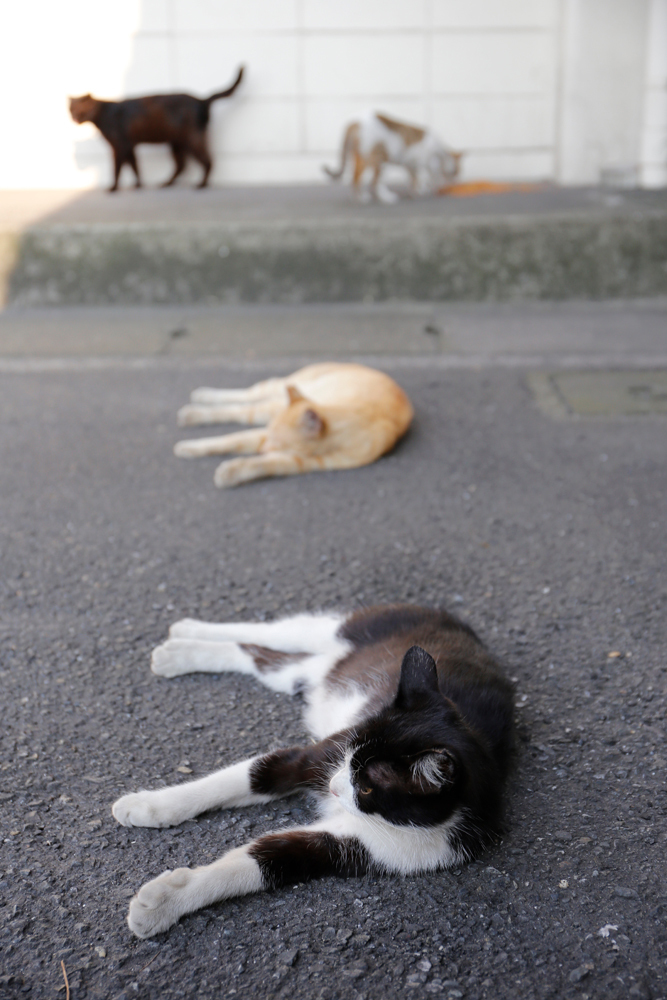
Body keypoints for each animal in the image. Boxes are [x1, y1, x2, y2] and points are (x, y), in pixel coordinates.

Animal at [69, 66, 245, 193]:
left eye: (81, 110)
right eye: (71, 109)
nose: (74, 117)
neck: (103, 113)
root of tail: (202, 100)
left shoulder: (119, 145)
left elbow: (117, 168)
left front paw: (113, 188)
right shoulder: (129, 146)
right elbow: (135, 166)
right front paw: (138, 185)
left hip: (191, 138)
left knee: (207, 161)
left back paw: (201, 184)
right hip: (176, 142)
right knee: (181, 166)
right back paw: (167, 183)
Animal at [112, 604, 516, 940]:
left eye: (367, 787)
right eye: (350, 757)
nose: (334, 787)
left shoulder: (401, 846)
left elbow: (270, 858)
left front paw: (163, 903)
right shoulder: (324, 751)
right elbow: (255, 774)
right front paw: (149, 805)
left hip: (307, 675)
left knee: (266, 660)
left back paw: (180, 651)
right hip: (359, 627)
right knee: (281, 631)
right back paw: (185, 634)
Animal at [172, 364, 412, 488]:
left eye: (278, 445)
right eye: (272, 441)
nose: (262, 450)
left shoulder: (305, 462)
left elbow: (267, 464)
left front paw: (233, 471)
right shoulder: (264, 433)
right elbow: (232, 438)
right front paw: (189, 447)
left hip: (272, 404)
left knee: (246, 406)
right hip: (277, 395)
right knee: (247, 398)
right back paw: (198, 402)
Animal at [324, 113, 464, 203]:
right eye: (456, 171)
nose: (456, 181)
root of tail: (355, 123)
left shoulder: (411, 165)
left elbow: (414, 179)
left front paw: (416, 191)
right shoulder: (418, 162)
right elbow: (421, 178)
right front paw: (422, 190)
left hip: (361, 157)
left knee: (355, 177)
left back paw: (359, 197)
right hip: (378, 158)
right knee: (373, 182)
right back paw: (385, 197)